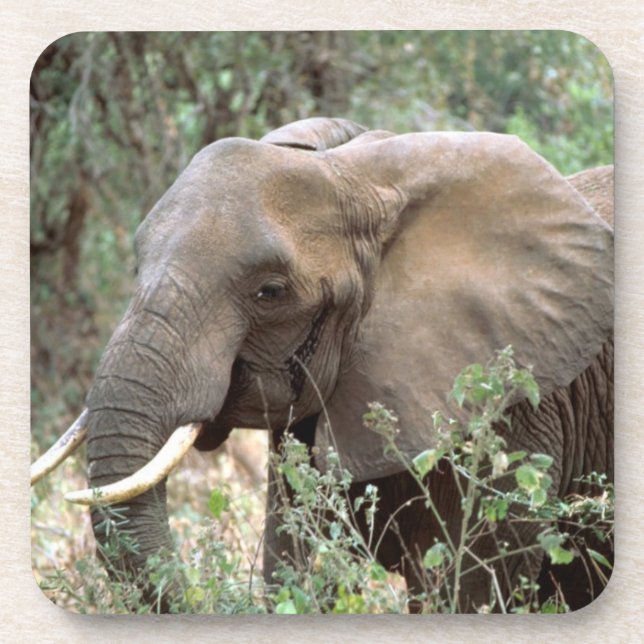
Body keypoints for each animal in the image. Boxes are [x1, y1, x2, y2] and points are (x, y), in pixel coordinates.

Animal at [31, 117, 613, 613]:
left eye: (270, 292)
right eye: (137, 267)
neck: (366, 174)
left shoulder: (514, 411)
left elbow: (466, 585)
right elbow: (292, 560)